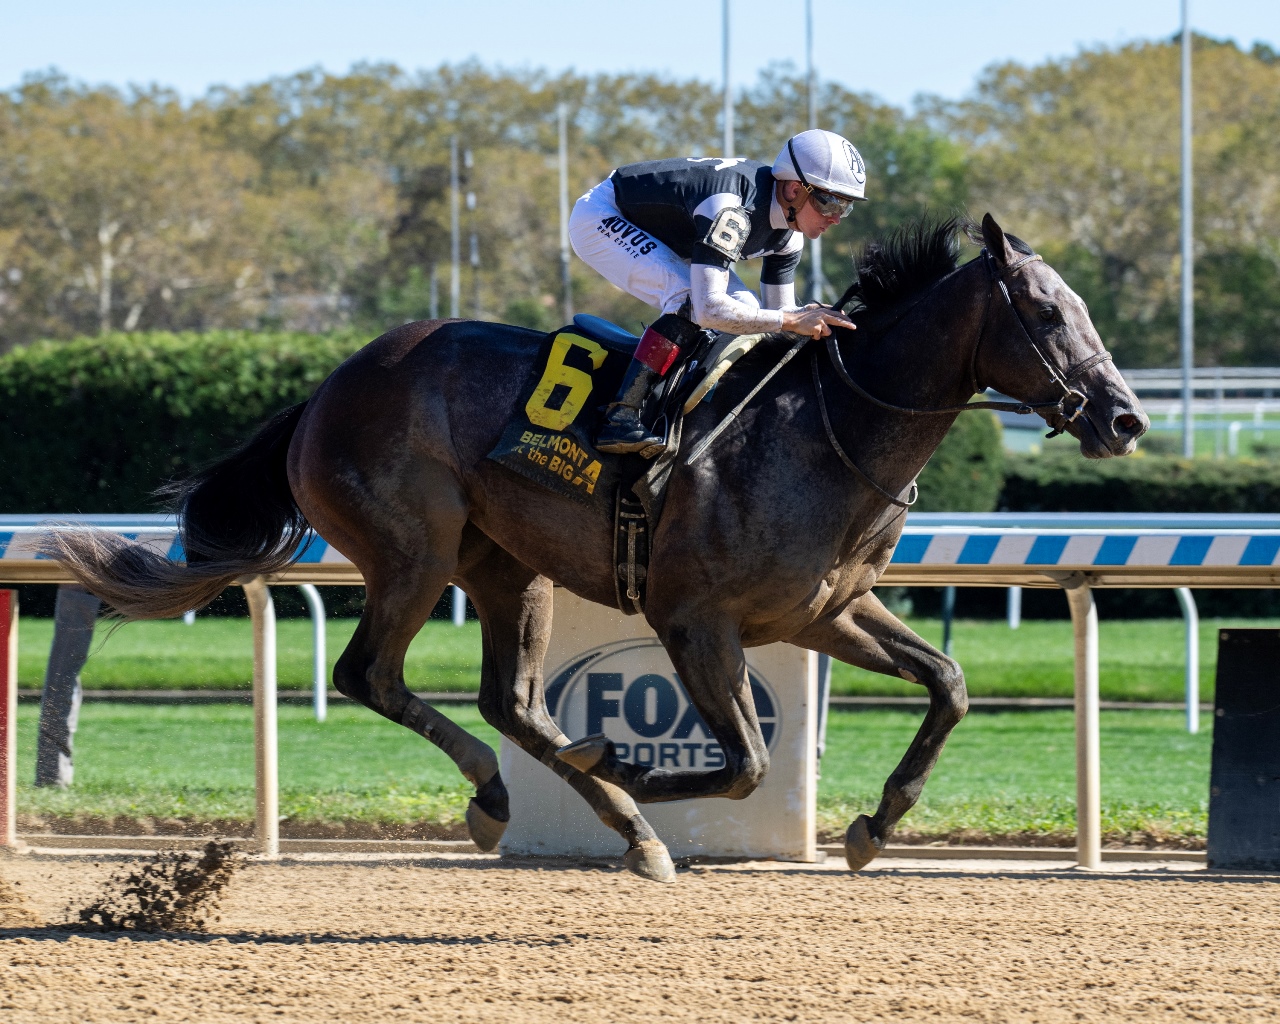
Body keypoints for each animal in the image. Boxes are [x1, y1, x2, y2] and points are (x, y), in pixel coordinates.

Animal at [49, 213, 1152, 880]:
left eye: (1085, 307)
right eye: (1046, 311)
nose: (1126, 417)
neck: (822, 428)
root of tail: (326, 388)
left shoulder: (823, 611)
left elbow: (948, 684)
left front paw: (874, 825)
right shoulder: (692, 619)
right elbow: (744, 762)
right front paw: (630, 764)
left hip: (506, 566)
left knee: (510, 701)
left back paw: (591, 818)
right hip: (414, 551)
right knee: (374, 675)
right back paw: (547, 798)